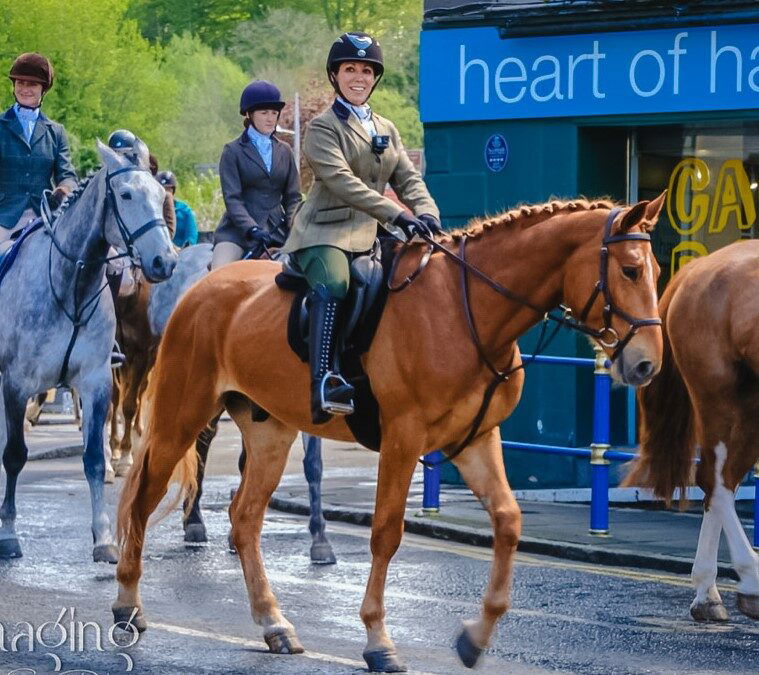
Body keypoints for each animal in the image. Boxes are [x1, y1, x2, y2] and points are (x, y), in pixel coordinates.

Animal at [0, 140, 178, 563]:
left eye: (160, 194)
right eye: (125, 195)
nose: (164, 261)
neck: (71, 285)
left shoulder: (96, 380)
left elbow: (95, 460)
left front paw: (104, 539)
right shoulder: (16, 384)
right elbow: (14, 455)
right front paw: (9, 535)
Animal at [625, 239, 759, 623]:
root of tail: (697, 268)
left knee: (723, 481)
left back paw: (708, 594)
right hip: (720, 395)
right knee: (715, 480)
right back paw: (743, 582)